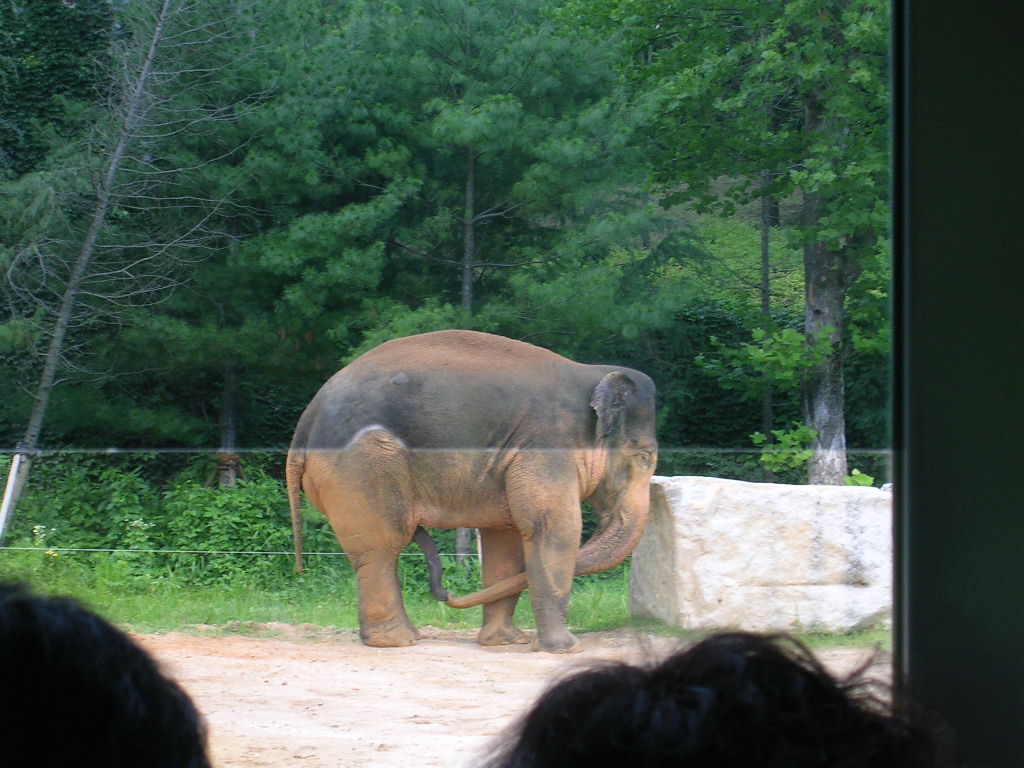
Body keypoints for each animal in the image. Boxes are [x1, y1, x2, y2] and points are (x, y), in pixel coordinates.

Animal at [288, 327, 655, 651]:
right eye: (643, 458)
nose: (446, 593)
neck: (591, 373)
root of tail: (305, 423)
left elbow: (505, 539)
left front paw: (506, 642)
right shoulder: (546, 444)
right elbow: (553, 527)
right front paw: (563, 649)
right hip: (362, 465)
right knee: (381, 547)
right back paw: (396, 641)